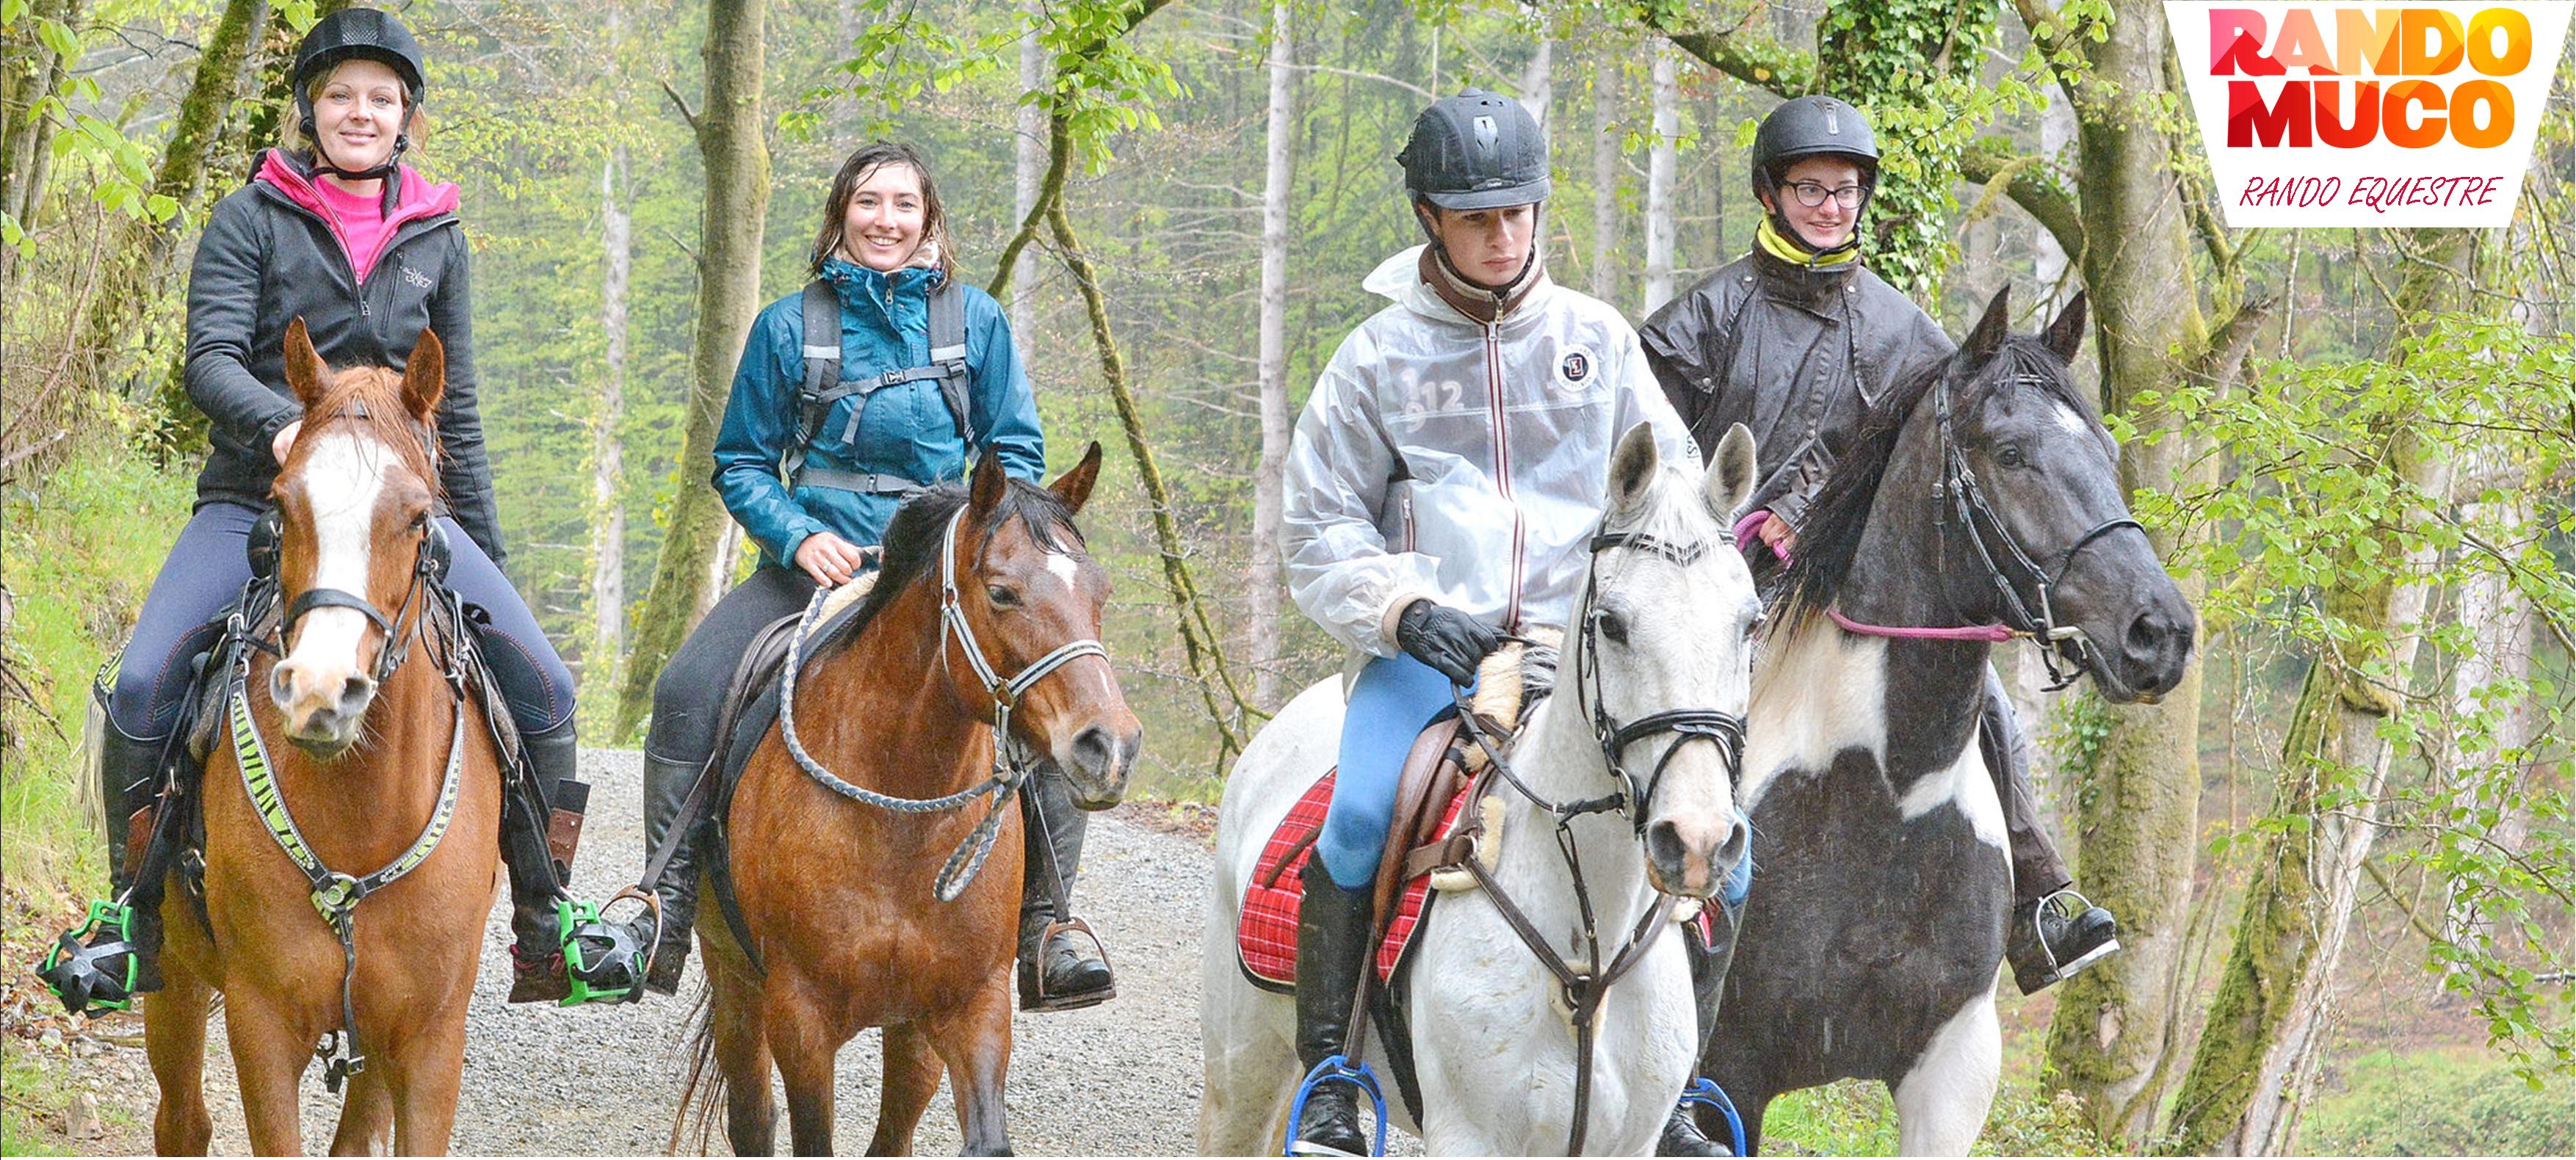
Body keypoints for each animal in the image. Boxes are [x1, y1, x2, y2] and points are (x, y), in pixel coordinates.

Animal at [143, 322, 504, 1154]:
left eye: (419, 516)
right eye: (280, 504)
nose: (318, 692)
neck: (361, 827)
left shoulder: (431, 1040)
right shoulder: (263, 1024)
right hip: (172, 970)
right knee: (182, 1120)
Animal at [685, 441, 1138, 1149]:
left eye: (1101, 593)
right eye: (1002, 593)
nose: (1111, 747)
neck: (900, 814)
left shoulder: (973, 1009)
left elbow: (984, 1137)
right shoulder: (801, 1020)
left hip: (909, 1031)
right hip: (734, 978)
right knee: (751, 1116)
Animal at [1200, 420, 1772, 1154]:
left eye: (1750, 622)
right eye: (1612, 623)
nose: (1696, 840)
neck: (1588, 954)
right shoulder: (1471, 1135)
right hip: (1241, 1072)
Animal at [1700, 287, 2204, 1149]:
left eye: (2108, 449)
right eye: (2009, 452)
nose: (2158, 632)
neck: (1883, 795)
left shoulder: (1951, 1073)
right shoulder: (1726, 1070)